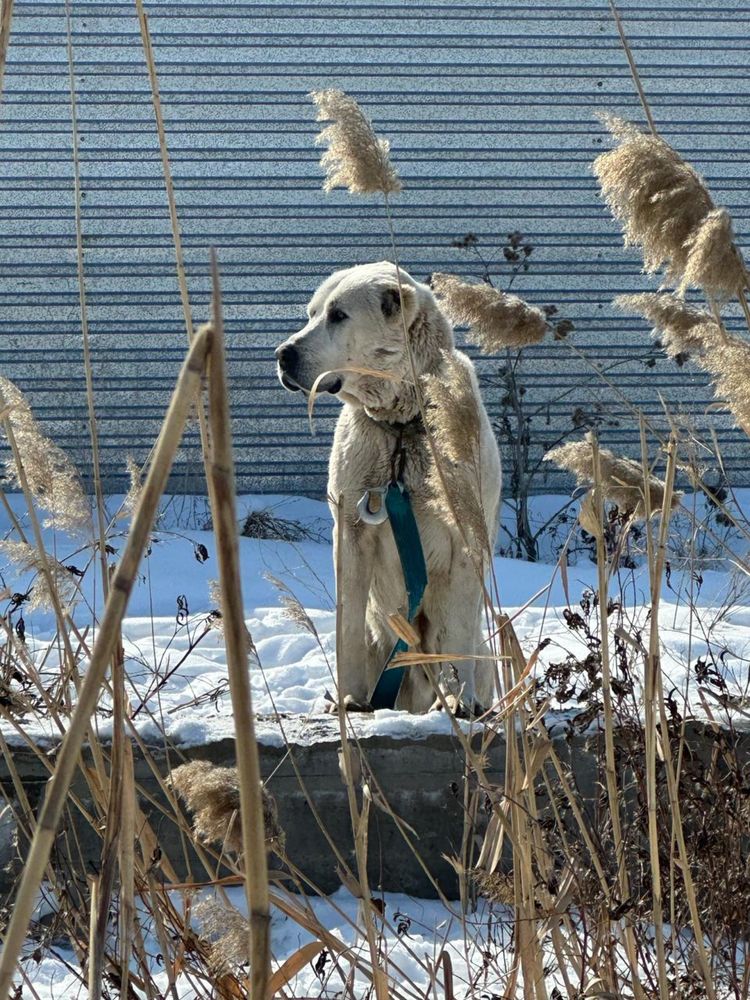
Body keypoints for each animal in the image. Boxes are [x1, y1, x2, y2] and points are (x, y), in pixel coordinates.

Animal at [274, 258, 500, 712]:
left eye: (338, 315)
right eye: (311, 314)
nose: (282, 355)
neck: (401, 424)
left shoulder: (467, 537)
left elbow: (456, 627)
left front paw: (458, 701)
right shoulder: (350, 531)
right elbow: (346, 624)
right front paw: (348, 699)